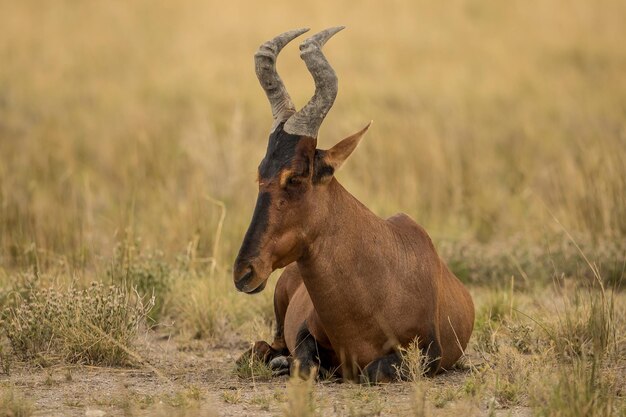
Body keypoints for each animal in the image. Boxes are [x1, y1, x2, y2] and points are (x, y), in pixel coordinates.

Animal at [233, 27, 472, 382]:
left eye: (296, 177)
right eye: (261, 171)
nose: (244, 272)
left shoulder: (429, 352)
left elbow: (371, 370)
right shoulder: (304, 333)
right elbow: (305, 364)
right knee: (264, 346)